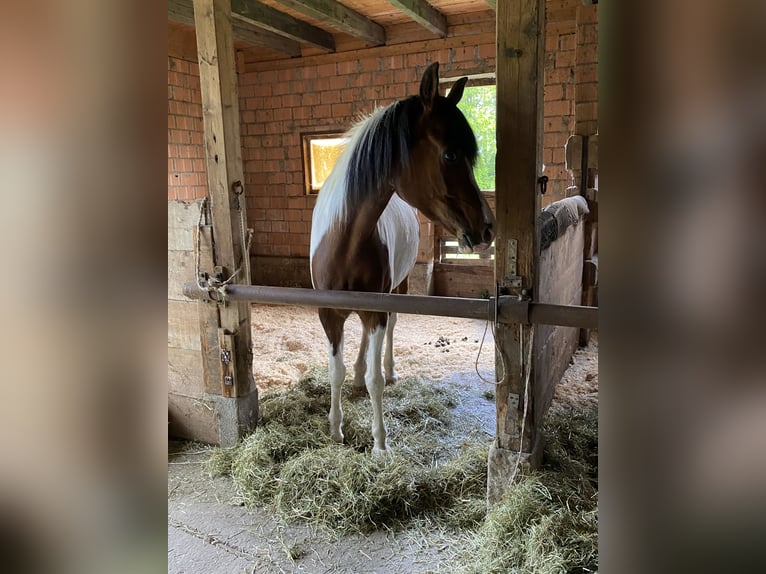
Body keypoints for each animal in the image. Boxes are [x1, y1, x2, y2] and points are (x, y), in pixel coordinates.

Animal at [312, 63, 498, 456]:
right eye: (450, 155)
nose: (487, 228)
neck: (344, 242)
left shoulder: (378, 310)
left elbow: (376, 379)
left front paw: (380, 443)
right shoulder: (327, 312)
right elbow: (335, 371)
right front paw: (335, 430)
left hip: (395, 291)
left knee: (389, 333)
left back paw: (390, 369)